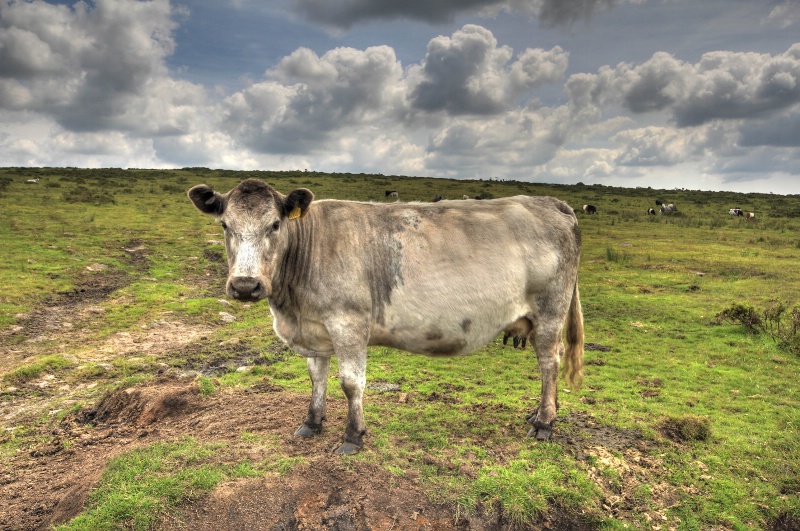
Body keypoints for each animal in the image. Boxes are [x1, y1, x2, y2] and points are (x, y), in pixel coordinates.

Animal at [190, 181, 584, 456]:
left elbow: (351, 383)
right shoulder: (315, 331)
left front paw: (353, 436)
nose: (245, 285)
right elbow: (317, 378)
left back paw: (545, 423)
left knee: (550, 361)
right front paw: (312, 423)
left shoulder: (348, 324)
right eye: (224, 225)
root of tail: (550, 202)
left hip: (550, 312)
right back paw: (538, 413)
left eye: (274, 224)